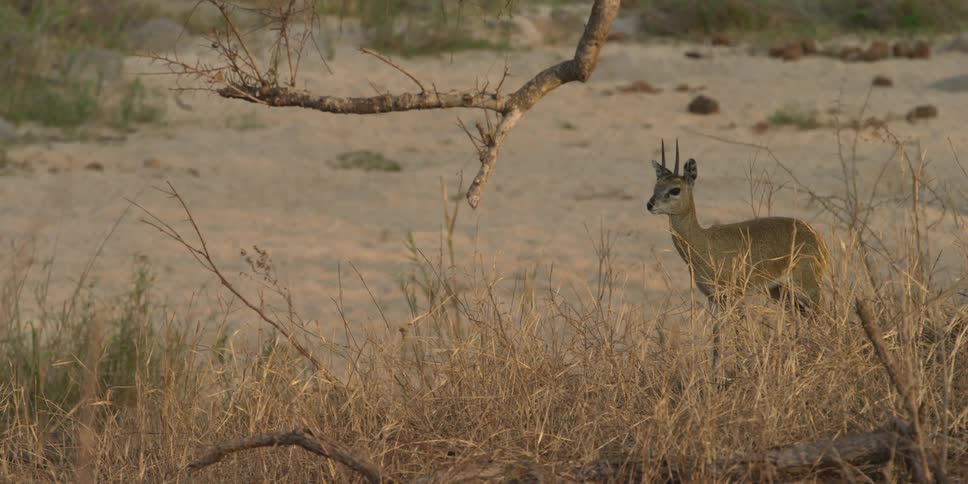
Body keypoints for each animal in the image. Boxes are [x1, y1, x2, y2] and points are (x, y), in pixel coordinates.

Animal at [646, 139, 829, 315]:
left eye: (675, 189)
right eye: (656, 187)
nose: (649, 205)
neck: (703, 242)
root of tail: (818, 238)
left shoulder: (734, 295)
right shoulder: (714, 298)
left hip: (807, 287)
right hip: (779, 291)